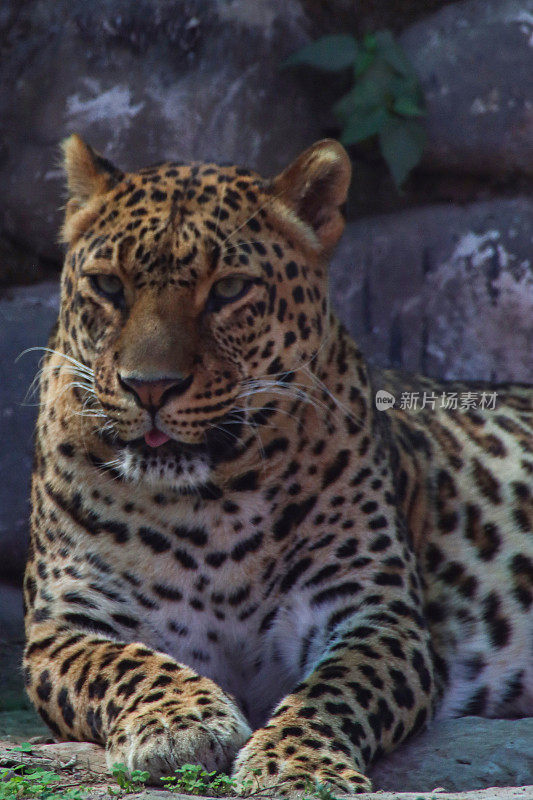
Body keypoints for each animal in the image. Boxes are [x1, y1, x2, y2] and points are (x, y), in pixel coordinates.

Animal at [23, 134, 532, 796]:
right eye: (109, 287)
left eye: (228, 290)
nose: (150, 386)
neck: (205, 508)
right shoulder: (62, 625)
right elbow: (122, 662)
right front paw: (180, 722)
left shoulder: (374, 614)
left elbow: (333, 691)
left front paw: (296, 764)